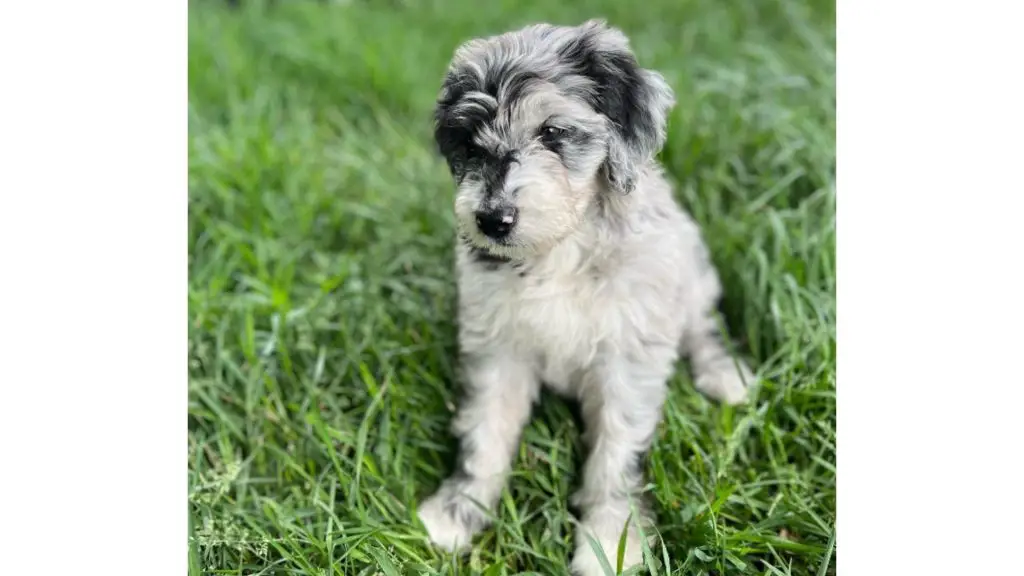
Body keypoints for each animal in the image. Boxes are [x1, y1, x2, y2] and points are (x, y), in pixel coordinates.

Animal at [415, 20, 753, 569]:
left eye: (552, 132)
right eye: (468, 140)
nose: (492, 220)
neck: (561, 249)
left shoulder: (629, 357)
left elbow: (616, 456)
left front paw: (611, 544)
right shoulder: (497, 348)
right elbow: (484, 434)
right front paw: (457, 512)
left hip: (690, 265)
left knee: (701, 324)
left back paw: (726, 376)